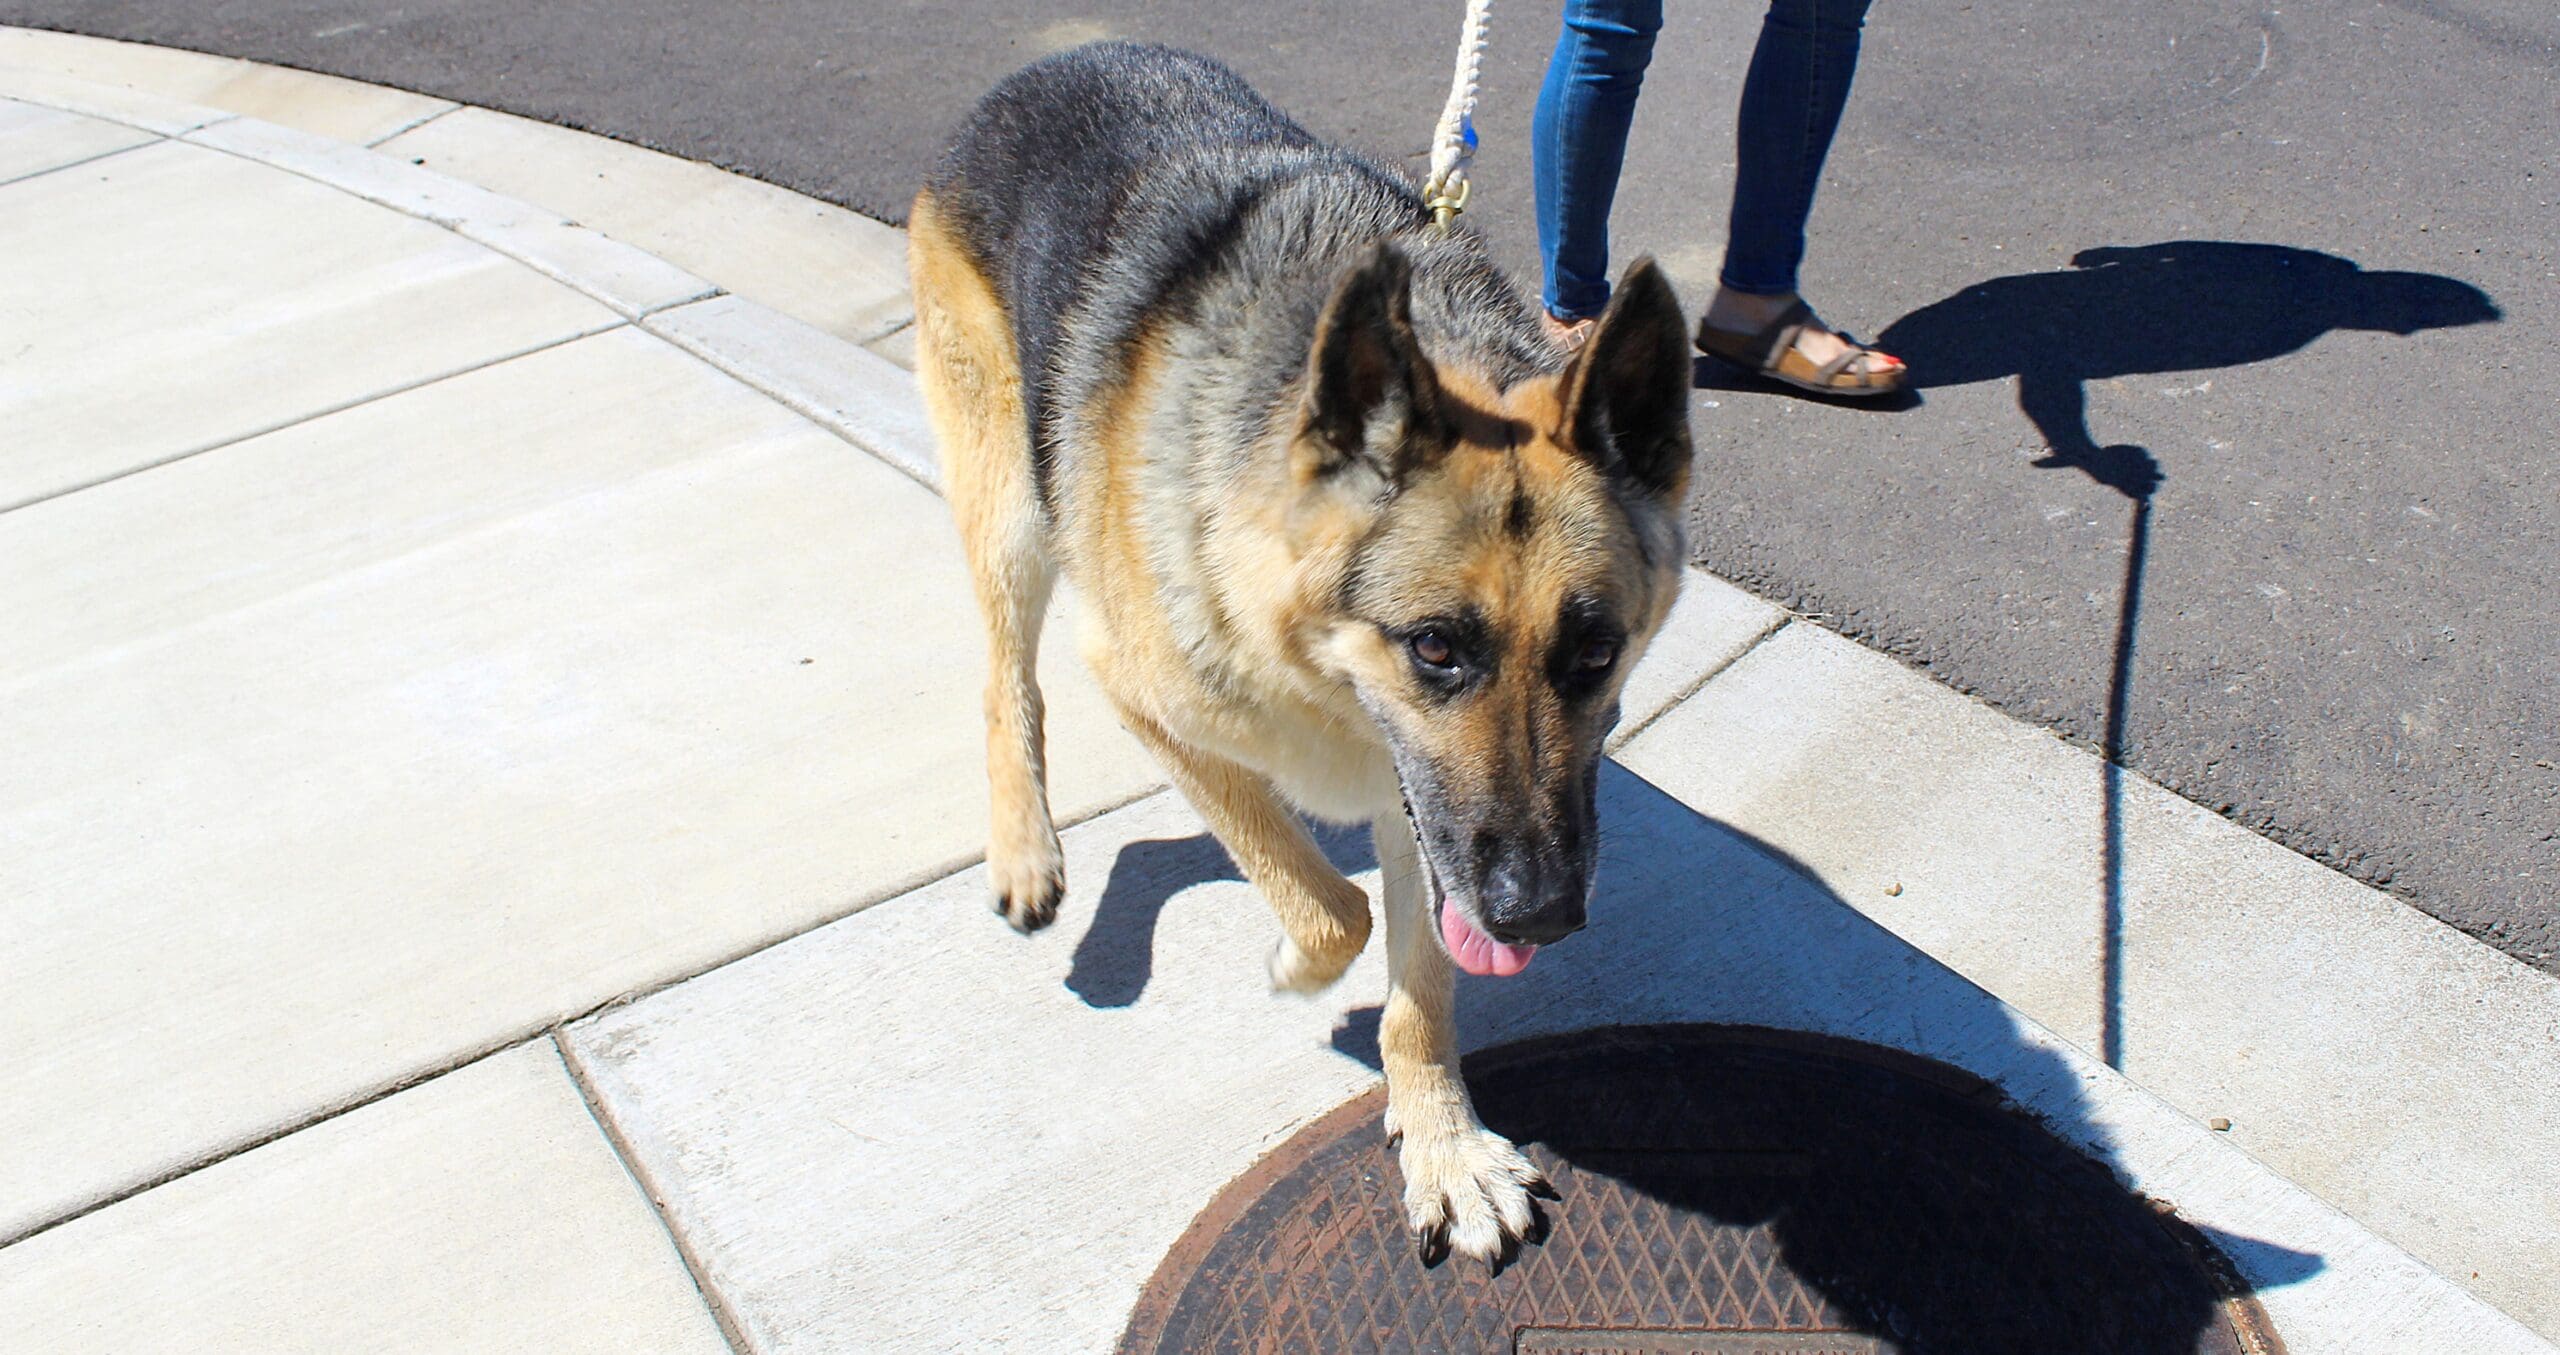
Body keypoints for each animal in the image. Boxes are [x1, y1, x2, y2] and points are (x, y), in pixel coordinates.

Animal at [910, 41, 1694, 1266]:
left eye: (1597, 650)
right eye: (1435, 647)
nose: (1538, 918)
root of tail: (1070, 56)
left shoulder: (1419, 813)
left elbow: (1421, 980)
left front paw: (1443, 1145)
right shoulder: (1148, 700)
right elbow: (1330, 908)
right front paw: (1292, 967)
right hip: (1012, 515)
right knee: (1007, 683)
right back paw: (1028, 852)